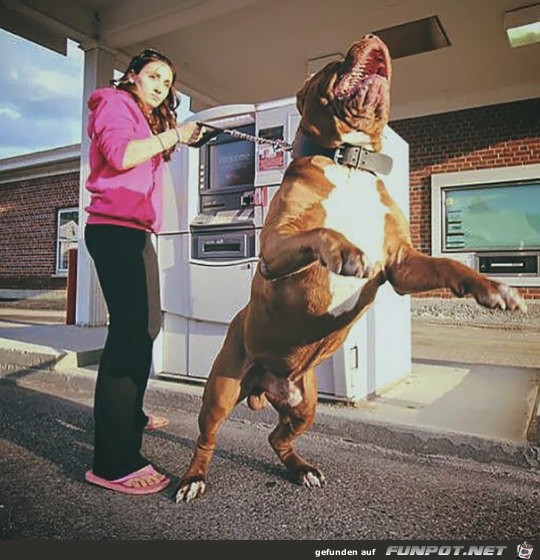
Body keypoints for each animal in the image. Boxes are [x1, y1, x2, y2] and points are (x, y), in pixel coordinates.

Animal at [175, 34, 524, 504]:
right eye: (333, 63)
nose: (372, 37)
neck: (349, 161)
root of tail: (268, 385)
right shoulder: (273, 248)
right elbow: (322, 231)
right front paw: (346, 252)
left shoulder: (402, 265)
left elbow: (449, 264)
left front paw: (493, 289)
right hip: (222, 389)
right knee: (206, 438)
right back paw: (193, 479)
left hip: (305, 404)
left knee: (277, 438)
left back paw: (302, 469)